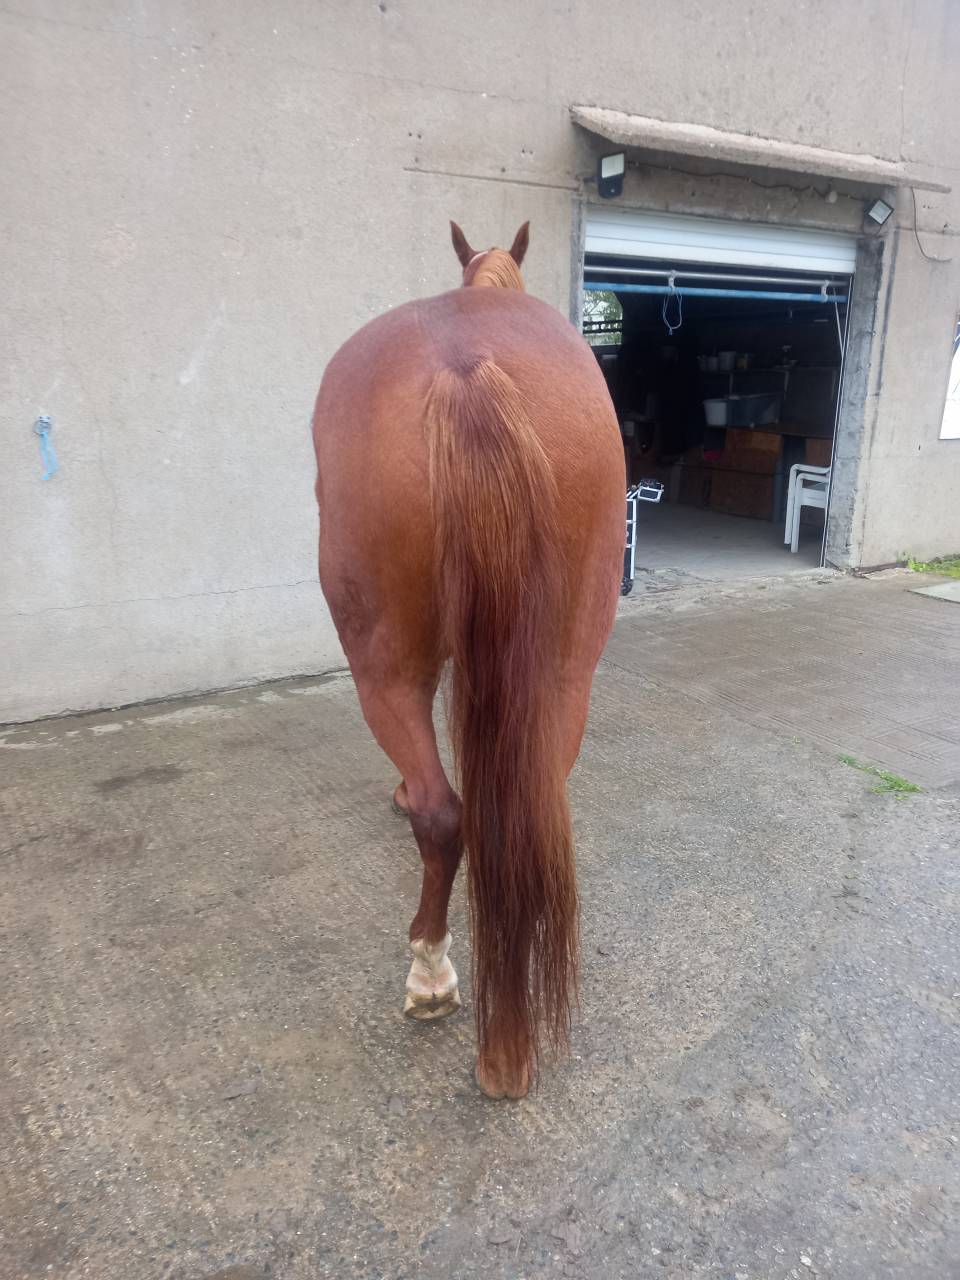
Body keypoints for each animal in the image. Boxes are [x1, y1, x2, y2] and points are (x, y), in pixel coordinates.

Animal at [312, 220, 624, 1099]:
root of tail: (464, 370)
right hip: (565, 669)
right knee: (523, 814)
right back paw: (509, 1050)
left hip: (383, 666)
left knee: (445, 813)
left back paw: (431, 974)